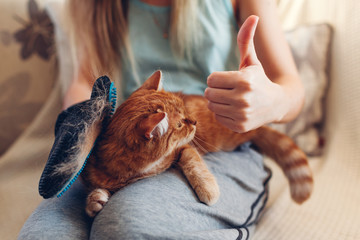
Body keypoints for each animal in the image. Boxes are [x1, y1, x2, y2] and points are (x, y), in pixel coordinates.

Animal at [81, 70, 312, 217]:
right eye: (180, 123)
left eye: (185, 111)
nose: (194, 122)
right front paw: (95, 201)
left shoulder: (184, 149)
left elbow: (193, 164)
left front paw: (208, 189)